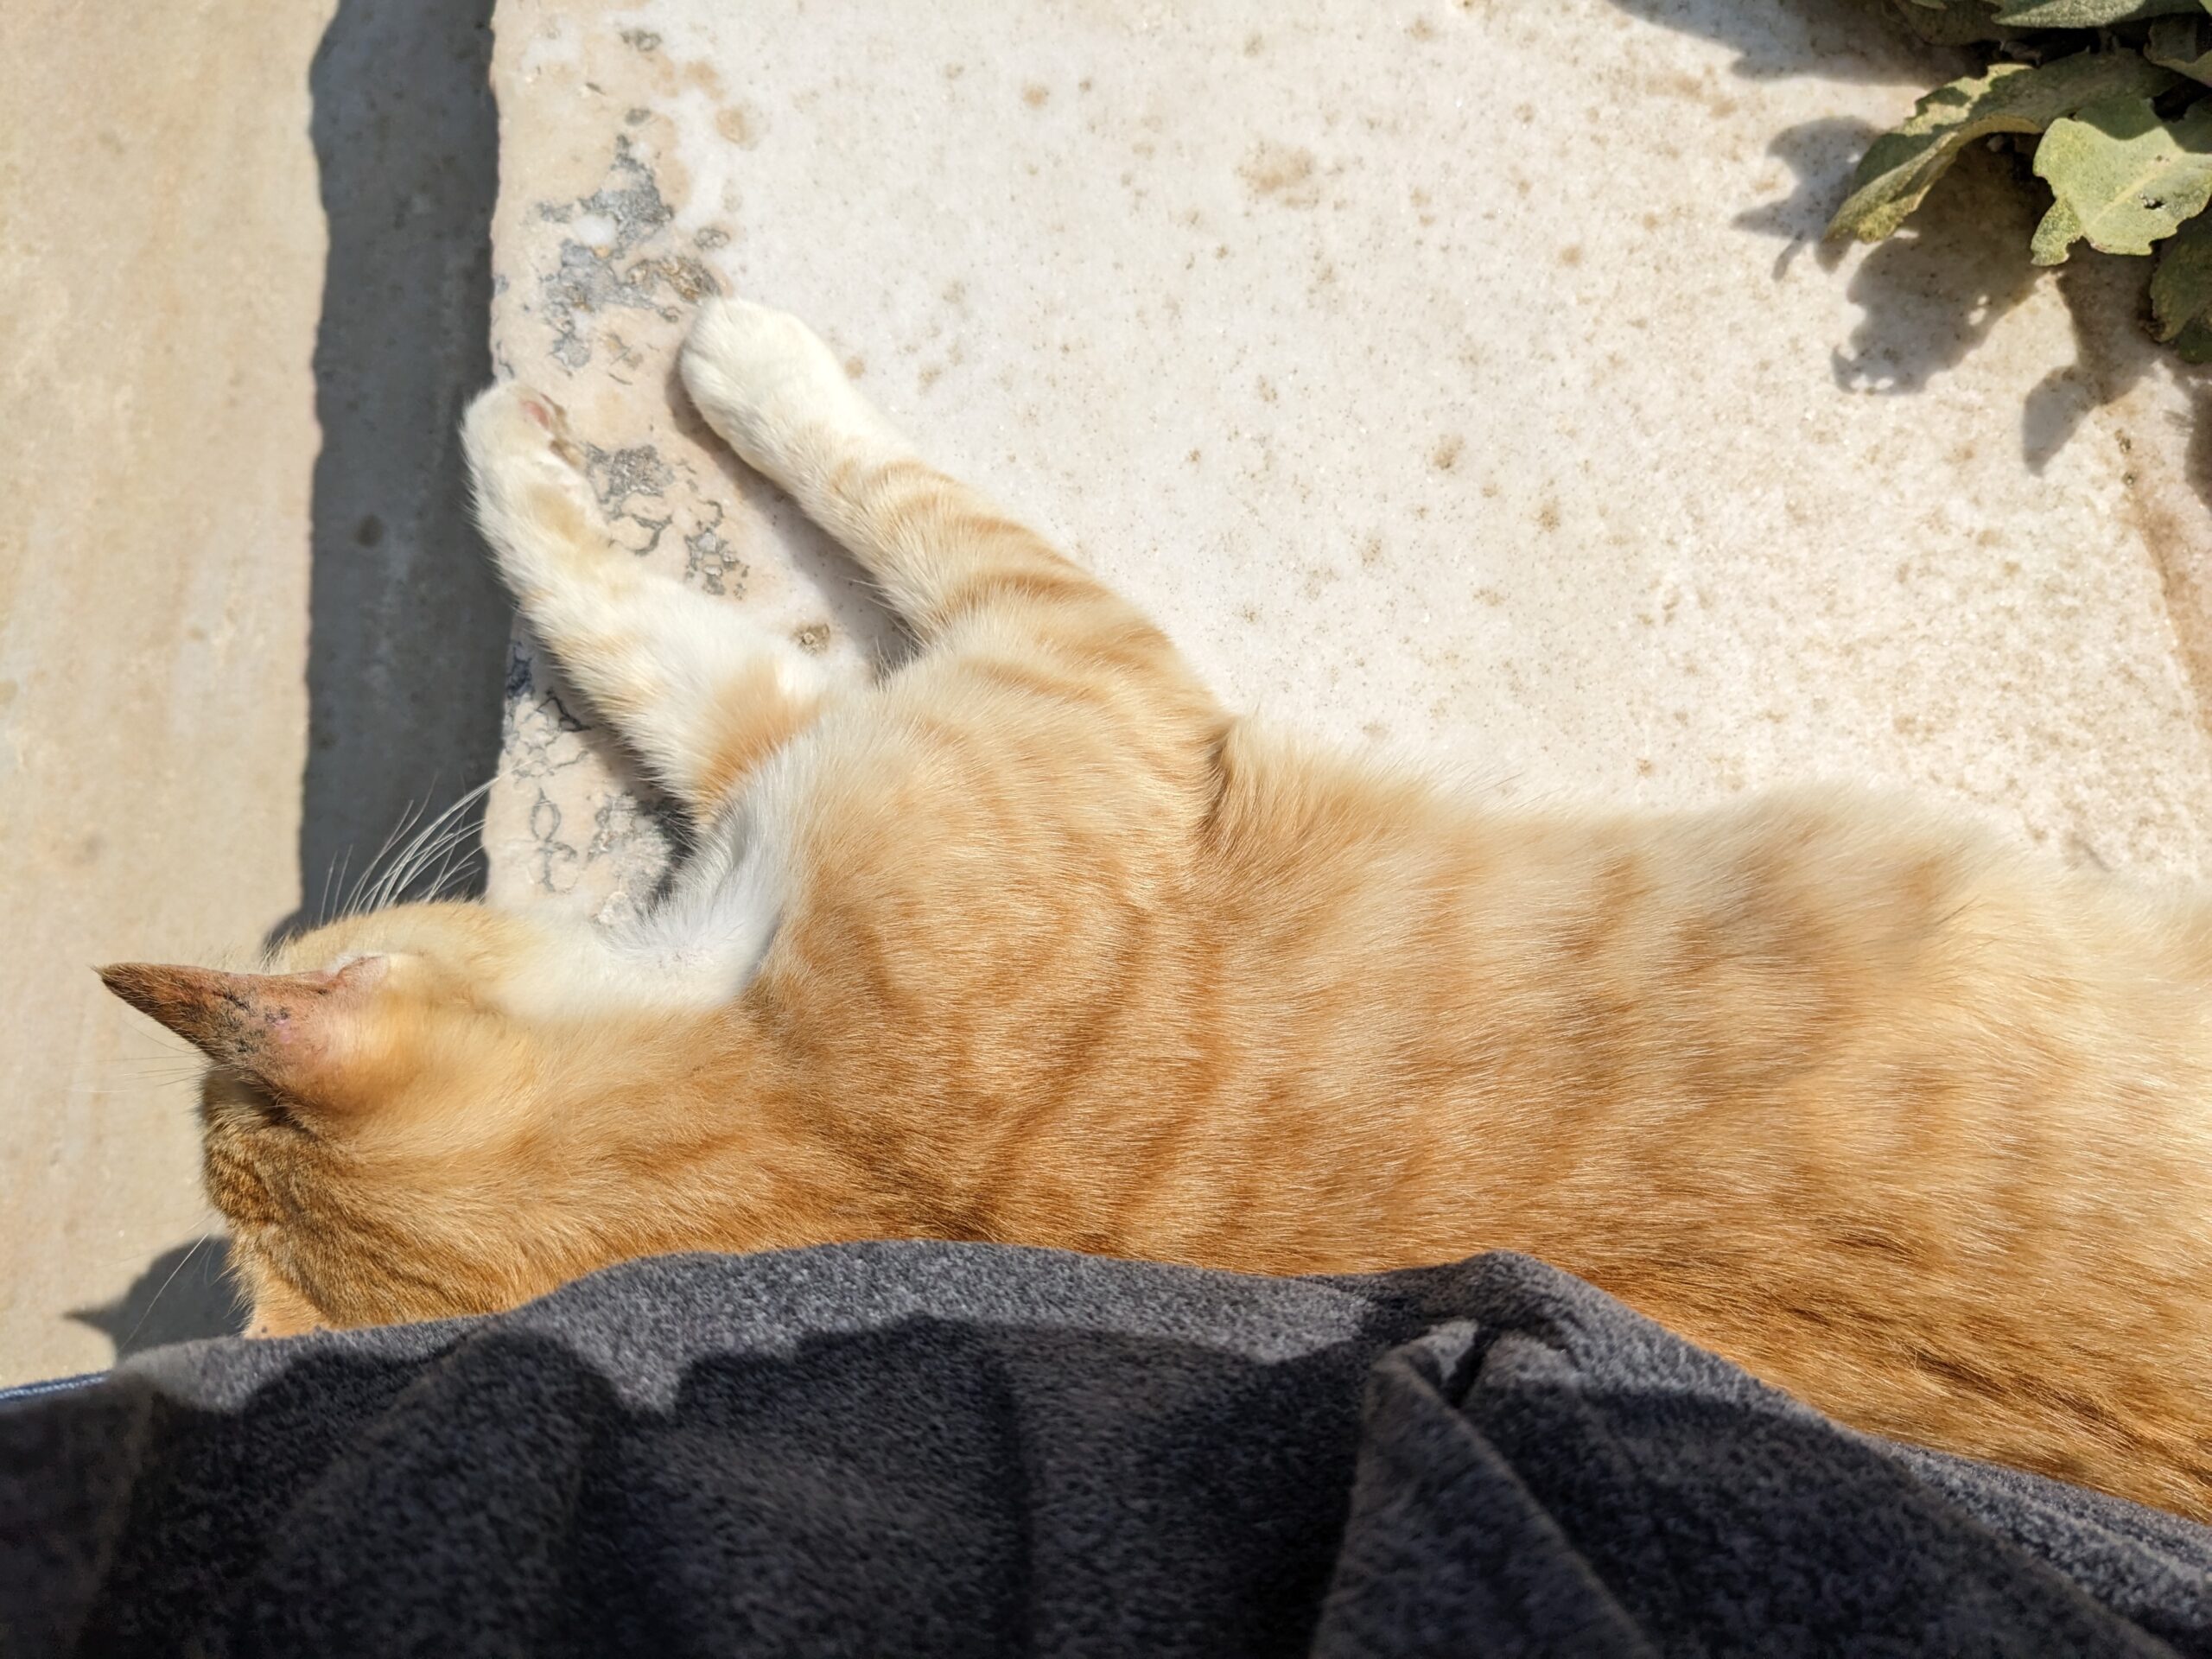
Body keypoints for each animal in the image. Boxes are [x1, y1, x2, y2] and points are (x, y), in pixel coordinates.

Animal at [102, 297, 2212, 1521]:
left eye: (306, 948)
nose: (299, 929)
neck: (806, 1118)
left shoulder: (907, 723)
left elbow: (656, 623)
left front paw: (583, 422)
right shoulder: (1055, 659)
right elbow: (745, 570)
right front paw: (693, 386)